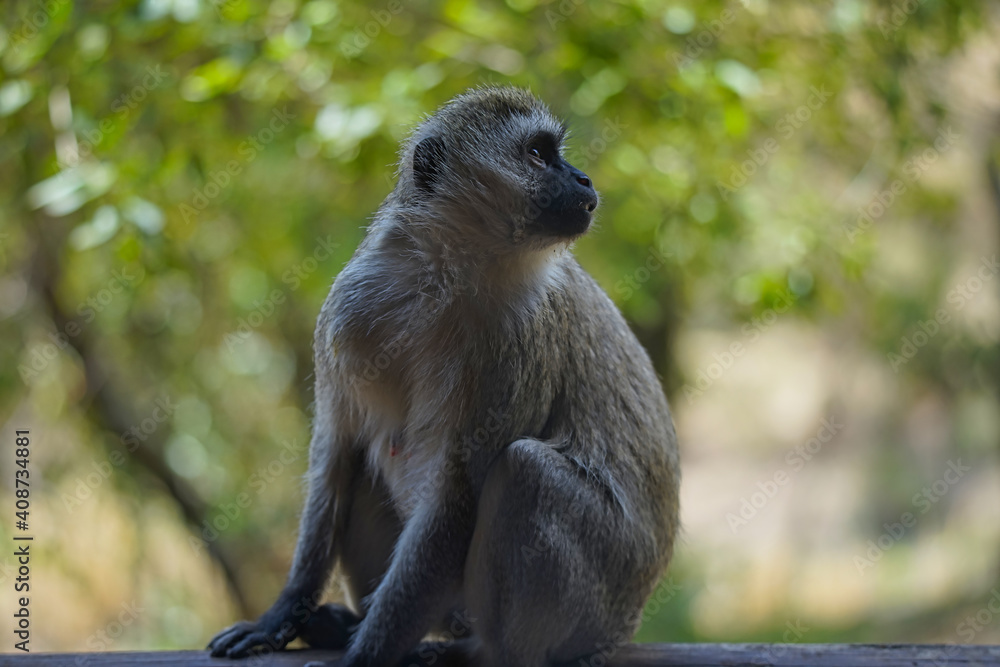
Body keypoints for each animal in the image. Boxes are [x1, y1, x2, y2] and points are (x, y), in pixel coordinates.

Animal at [208, 86, 680, 667]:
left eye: (553, 154)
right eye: (538, 155)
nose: (584, 179)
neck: (446, 273)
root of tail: (625, 623)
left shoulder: (516, 342)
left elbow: (454, 498)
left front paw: (365, 657)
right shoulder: (348, 310)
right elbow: (337, 452)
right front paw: (281, 615)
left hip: (593, 612)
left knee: (525, 471)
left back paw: (478, 651)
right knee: (373, 454)